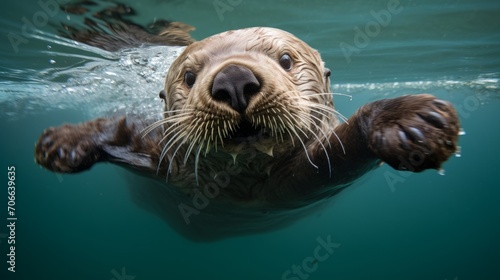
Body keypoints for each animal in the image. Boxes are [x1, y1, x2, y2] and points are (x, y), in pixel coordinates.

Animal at [33, 5, 458, 241]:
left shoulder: (311, 175)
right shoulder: (169, 163)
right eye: (189, 77)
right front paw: (64, 143)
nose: (233, 78)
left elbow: (350, 142)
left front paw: (410, 122)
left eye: (285, 60)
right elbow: (127, 134)